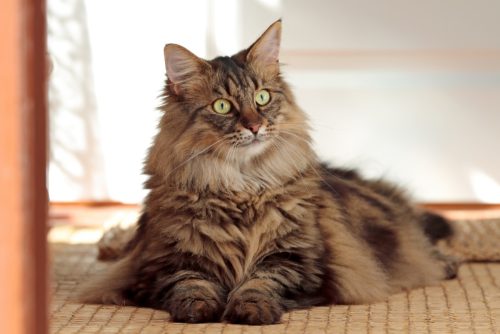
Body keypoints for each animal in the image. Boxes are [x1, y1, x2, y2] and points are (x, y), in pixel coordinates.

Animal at [80, 19, 458, 324]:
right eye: (222, 106)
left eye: (262, 97)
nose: (255, 126)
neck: (242, 186)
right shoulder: (166, 264)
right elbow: (191, 284)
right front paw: (198, 310)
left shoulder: (294, 260)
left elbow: (261, 283)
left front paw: (251, 310)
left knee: (420, 241)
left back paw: (448, 263)